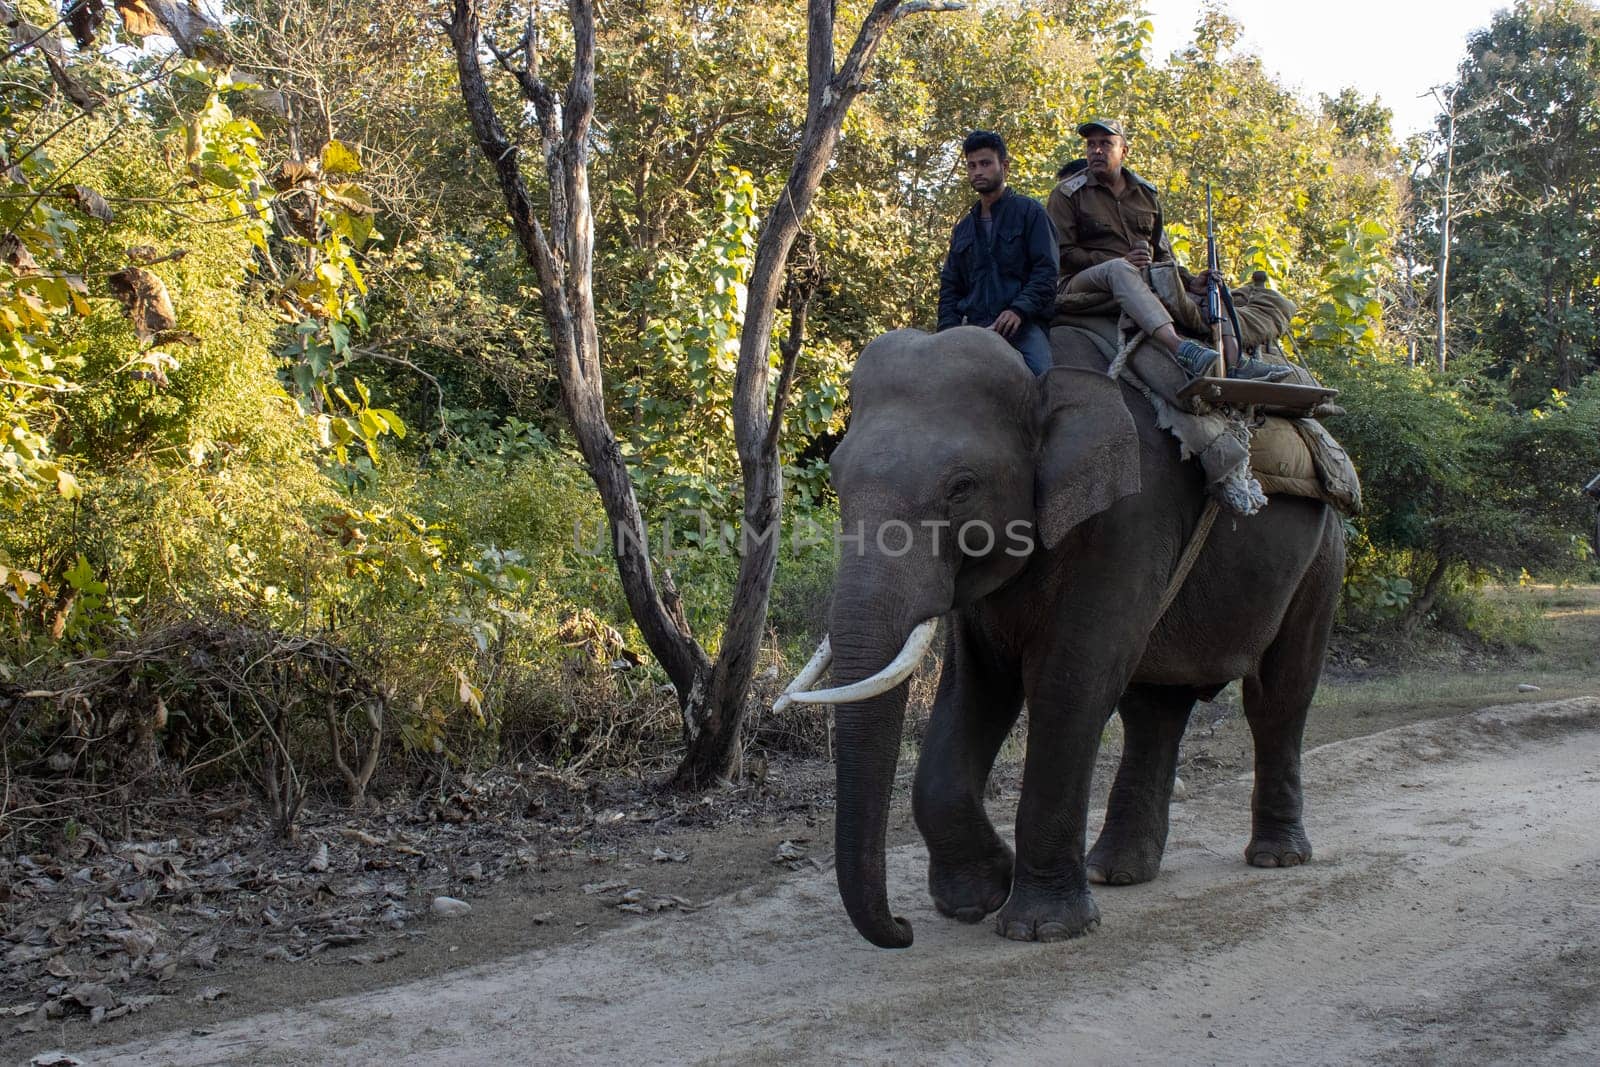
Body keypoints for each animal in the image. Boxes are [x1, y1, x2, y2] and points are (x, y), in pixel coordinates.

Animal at [780, 327, 1344, 953]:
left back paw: (1275, 858)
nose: (901, 928)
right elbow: (979, 684)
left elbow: (1071, 684)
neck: (1042, 377)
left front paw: (1042, 928)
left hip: (1321, 559)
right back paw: (1117, 872)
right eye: (835, 477)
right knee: (1154, 709)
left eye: (961, 487)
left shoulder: (1130, 519)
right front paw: (975, 899)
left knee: (1278, 697)